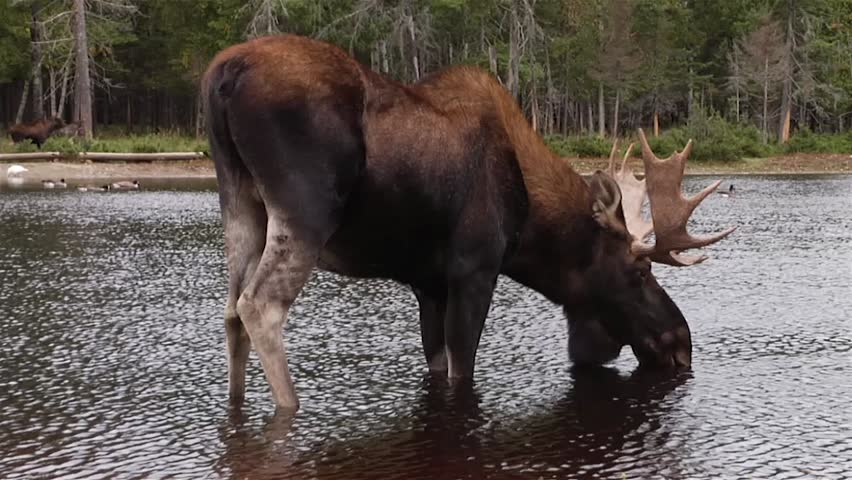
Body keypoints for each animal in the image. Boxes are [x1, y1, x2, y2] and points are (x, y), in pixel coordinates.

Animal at [202, 35, 734, 410]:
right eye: (640, 271)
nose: (682, 344)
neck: (531, 227)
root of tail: (223, 74)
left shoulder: (428, 285)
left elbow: (436, 365)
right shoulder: (474, 271)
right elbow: (464, 371)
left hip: (240, 202)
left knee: (230, 310)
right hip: (305, 211)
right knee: (259, 306)